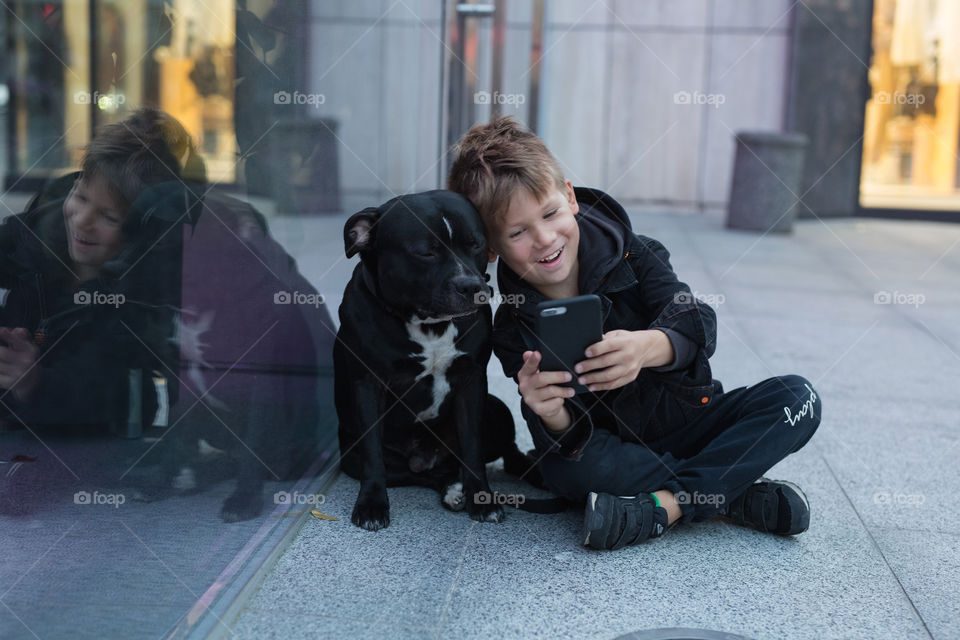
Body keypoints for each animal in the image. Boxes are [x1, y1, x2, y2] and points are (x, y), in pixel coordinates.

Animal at [336, 190, 532, 528]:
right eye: (425, 253)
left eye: (475, 244)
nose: (471, 285)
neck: (430, 325)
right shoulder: (368, 383)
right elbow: (373, 455)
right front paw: (372, 505)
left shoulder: (471, 381)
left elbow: (472, 447)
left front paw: (482, 498)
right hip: (351, 457)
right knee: (418, 474)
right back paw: (451, 489)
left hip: (498, 410)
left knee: (498, 451)